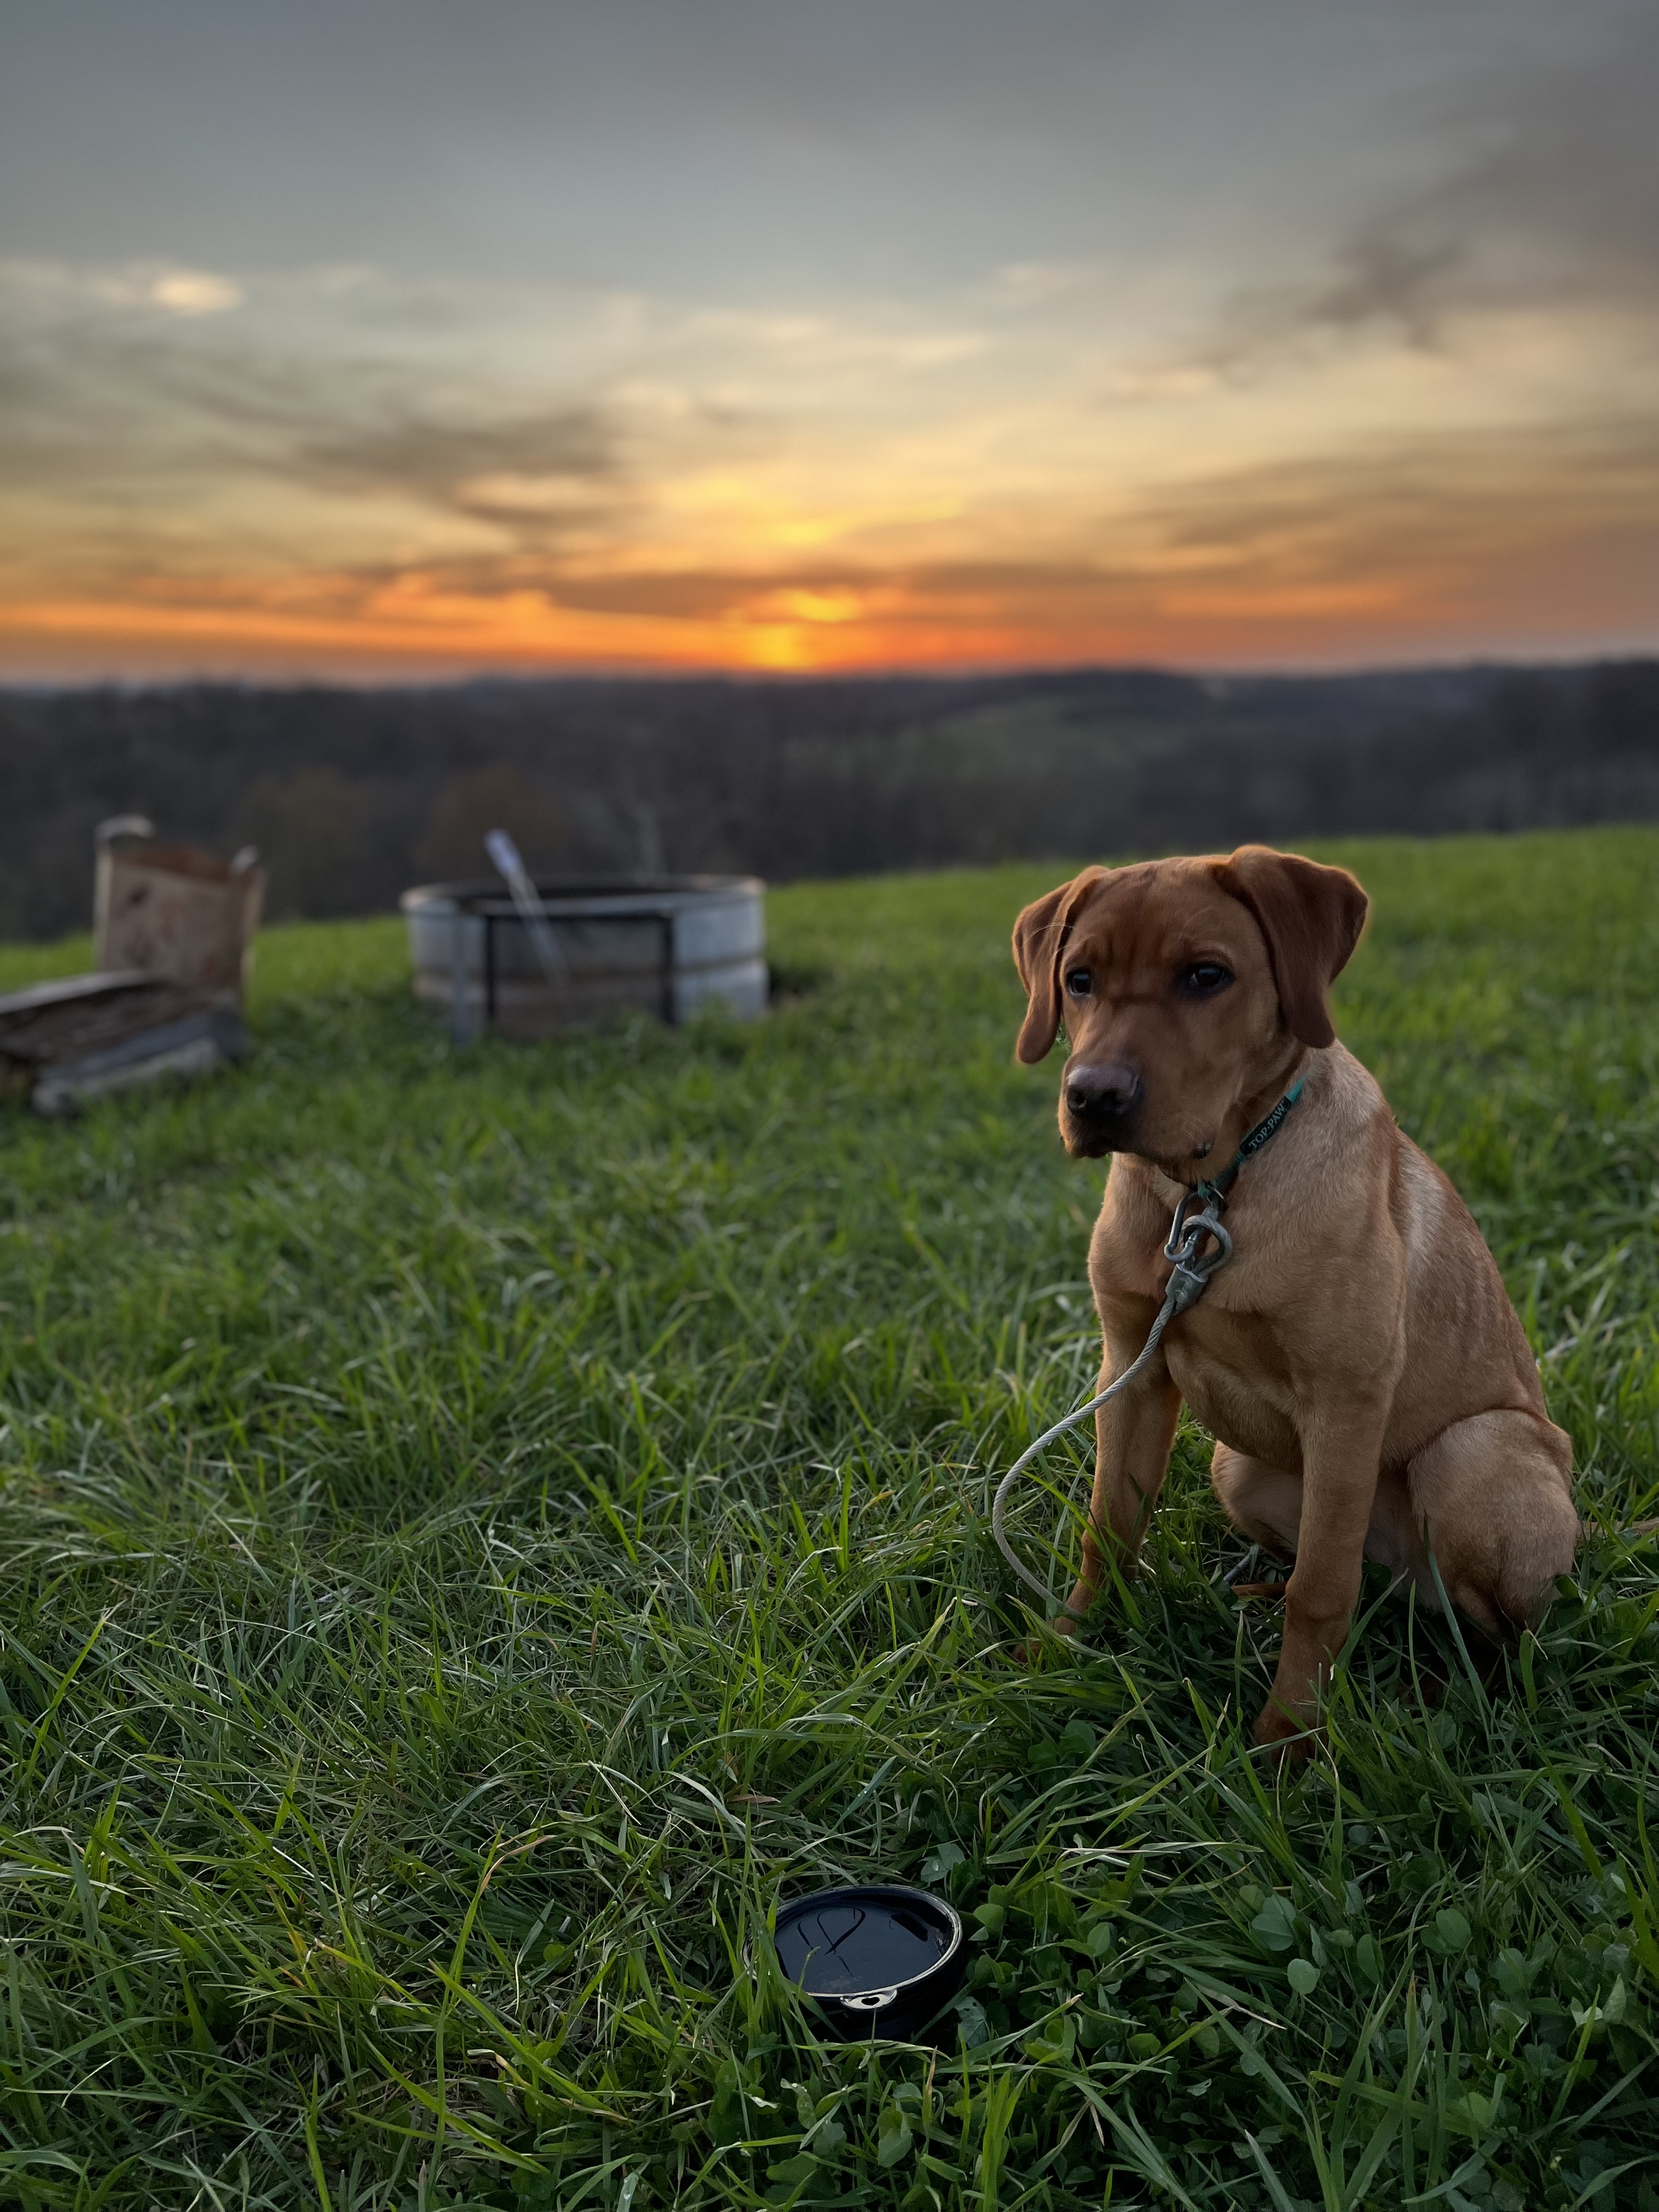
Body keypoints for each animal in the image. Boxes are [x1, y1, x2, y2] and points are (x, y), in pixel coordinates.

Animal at [1013, 845, 1583, 1760]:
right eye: (1079, 980)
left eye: (1207, 976)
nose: (1092, 1097)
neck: (1212, 1190)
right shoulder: (1131, 1369)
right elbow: (1108, 1528)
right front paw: (1064, 1647)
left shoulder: (1345, 1401)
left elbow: (1323, 1590)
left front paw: (1288, 1741)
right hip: (1238, 1468)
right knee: (1376, 1590)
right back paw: (1264, 1599)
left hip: (1471, 1453)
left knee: (1498, 1638)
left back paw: (1442, 1695)